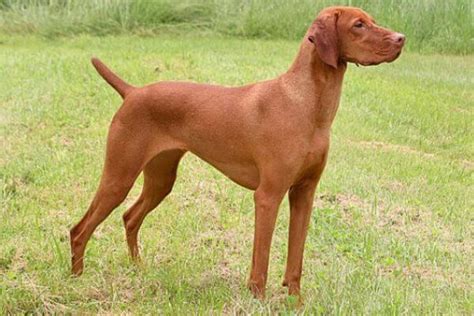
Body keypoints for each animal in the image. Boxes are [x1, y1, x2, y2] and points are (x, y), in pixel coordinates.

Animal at [69, 6, 404, 300]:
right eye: (358, 25)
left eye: (372, 20)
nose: (402, 38)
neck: (306, 105)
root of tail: (133, 92)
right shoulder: (268, 195)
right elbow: (262, 259)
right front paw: (258, 298)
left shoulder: (304, 194)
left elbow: (296, 258)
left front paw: (296, 301)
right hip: (119, 176)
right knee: (79, 229)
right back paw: (76, 279)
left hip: (161, 179)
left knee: (130, 217)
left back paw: (139, 268)